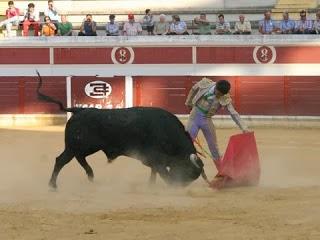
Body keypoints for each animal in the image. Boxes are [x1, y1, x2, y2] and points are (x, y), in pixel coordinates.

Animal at [36, 72, 206, 188]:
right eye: (187, 171)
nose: (180, 185)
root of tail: (79, 110)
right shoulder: (156, 158)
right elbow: (161, 172)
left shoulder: (154, 160)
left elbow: (154, 172)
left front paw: (152, 185)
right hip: (77, 146)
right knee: (62, 160)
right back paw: (53, 185)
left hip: (81, 147)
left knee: (76, 158)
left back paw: (89, 176)